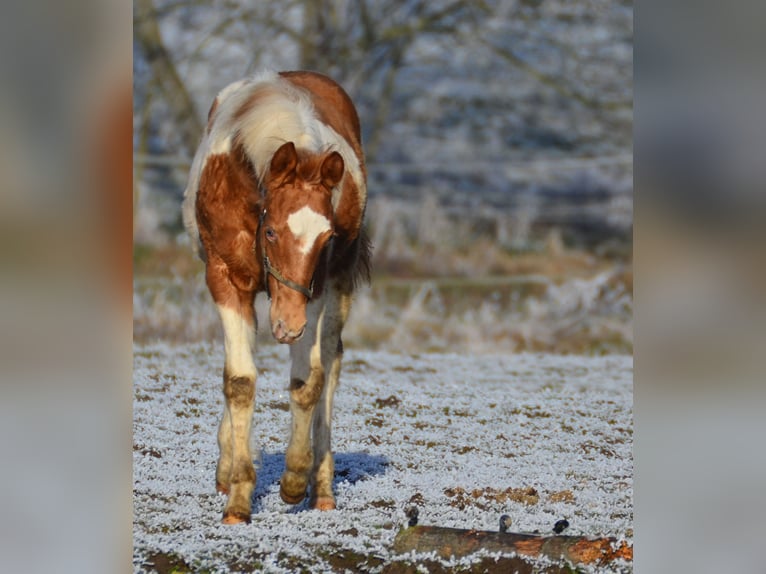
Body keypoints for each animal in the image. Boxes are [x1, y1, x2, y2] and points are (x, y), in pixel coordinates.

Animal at [183, 72, 368, 528]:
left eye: (326, 236)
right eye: (271, 232)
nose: (287, 324)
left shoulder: (315, 288)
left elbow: (307, 381)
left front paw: (295, 479)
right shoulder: (225, 281)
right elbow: (240, 381)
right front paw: (237, 497)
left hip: (336, 290)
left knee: (331, 364)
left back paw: (322, 487)